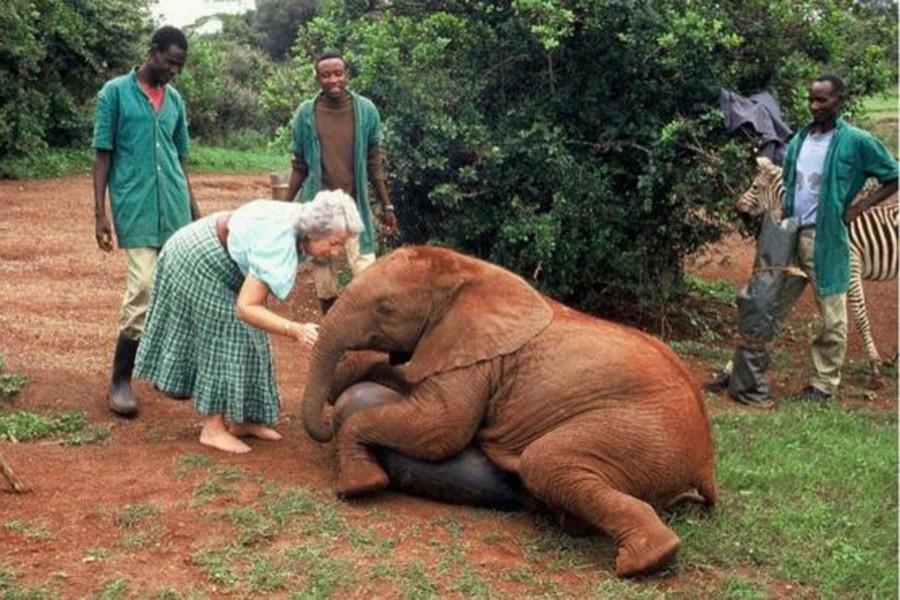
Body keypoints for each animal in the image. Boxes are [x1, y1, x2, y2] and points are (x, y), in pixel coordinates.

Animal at [302, 245, 716, 576]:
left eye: (385, 309)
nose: (323, 425)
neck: (467, 271)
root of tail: (706, 460)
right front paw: (344, 382)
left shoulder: (478, 359)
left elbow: (440, 428)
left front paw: (359, 486)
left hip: (643, 433)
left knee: (544, 461)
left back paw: (645, 561)